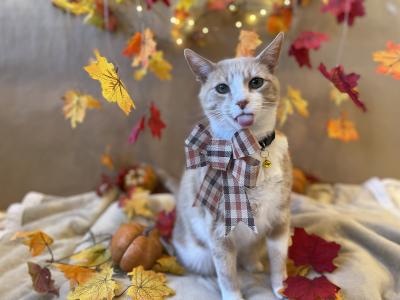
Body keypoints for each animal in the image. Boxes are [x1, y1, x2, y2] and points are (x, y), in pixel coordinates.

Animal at [173, 32, 294, 300]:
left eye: (256, 82)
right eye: (221, 88)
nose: (241, 101)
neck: (249, 151)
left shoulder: (280, 218)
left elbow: (279, 261)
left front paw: (281, 287)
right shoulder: (218, 231)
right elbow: (227, 273)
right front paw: (233, 294)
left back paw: (252, 262)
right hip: (198, 254)